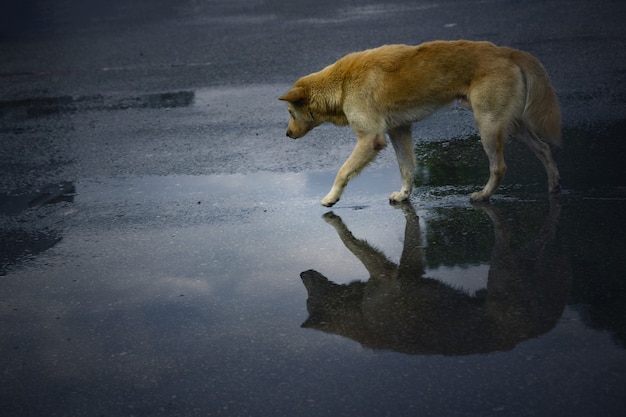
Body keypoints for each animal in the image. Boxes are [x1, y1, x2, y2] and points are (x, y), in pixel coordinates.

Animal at [278, 39, 560, 206]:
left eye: (291, 113)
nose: (287, 134)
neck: (342, 83)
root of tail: (508, 52)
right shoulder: (399, 131)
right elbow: (407, 168)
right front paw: (404, 194)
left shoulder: (370, 139)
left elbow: (343, 171)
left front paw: (331, 197)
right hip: (513, 124)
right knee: (545, 149)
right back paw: (554, 185)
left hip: (488, 126)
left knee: (499, 167)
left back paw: (484, 195)